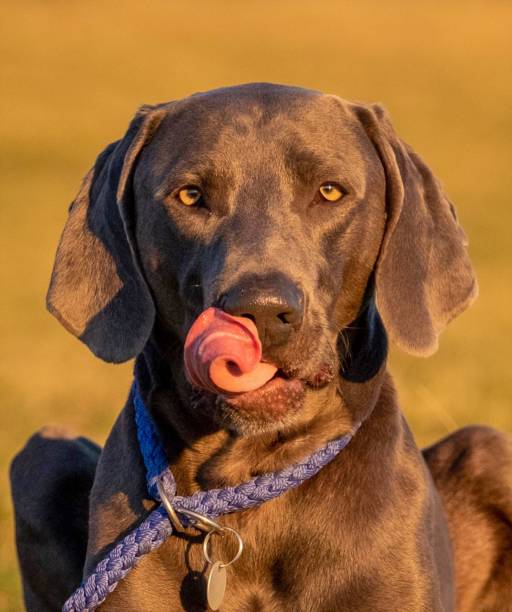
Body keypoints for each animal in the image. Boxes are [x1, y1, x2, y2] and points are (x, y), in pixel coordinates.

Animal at [9, 83, 512, 608]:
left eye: (330, 191)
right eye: (190, 195)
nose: (263, 312)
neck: (250, 475)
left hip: (491, 449)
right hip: (42, 458)